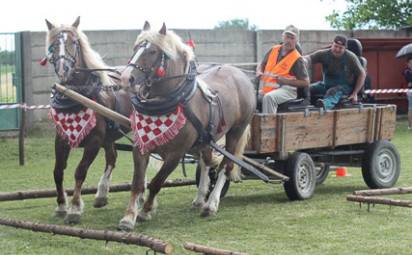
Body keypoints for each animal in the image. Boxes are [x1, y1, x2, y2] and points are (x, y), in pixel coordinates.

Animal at [45, 17, 133, 223]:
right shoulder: (61, 138)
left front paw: (75, 208)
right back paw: (101, 194)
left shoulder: (94, 141)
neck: (78, 97)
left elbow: (80, 171)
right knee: (112, 157)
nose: (63, 68)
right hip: (109, 136)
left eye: (74, 42)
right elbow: (58, 171)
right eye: (53, 45)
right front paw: (61, 205)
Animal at [117, 20, 256, 230]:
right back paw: (200, 198)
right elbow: (138, 182)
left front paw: (146, 211)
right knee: (206, 162)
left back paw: (211, 205)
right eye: (135, 48)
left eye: (153, 51)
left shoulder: (176, 154)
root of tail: (240, 74)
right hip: (207, 137)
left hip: (236, 131)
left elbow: (156, 182)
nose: (126, 78)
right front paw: (128, 217)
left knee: (226, 166)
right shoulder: (141, 146)